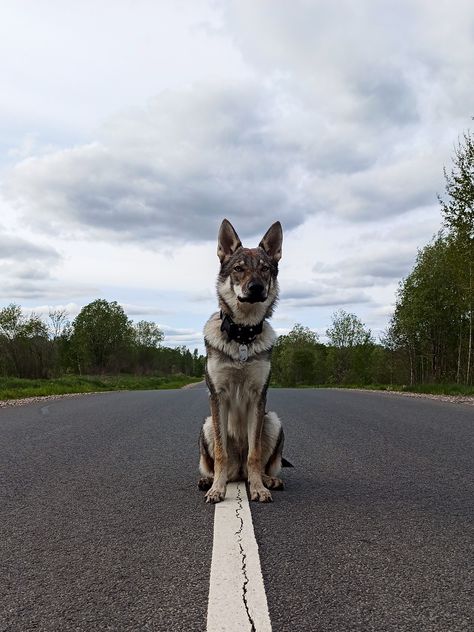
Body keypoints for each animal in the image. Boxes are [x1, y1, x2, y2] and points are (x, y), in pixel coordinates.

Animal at [197, 218, 286, 504]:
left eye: (265, 270)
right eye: (239, 269)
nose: (256, 288)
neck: (242, 337)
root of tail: (237, 475)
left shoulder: (258, 397)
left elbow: (255, 454)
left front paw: (259, 488)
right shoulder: (218, 397)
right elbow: (221, 454)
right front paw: (217, 490)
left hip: (273, 421)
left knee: (255, 465)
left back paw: (268, 480)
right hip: (207, 424)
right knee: (219, 465)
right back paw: (211, 480)